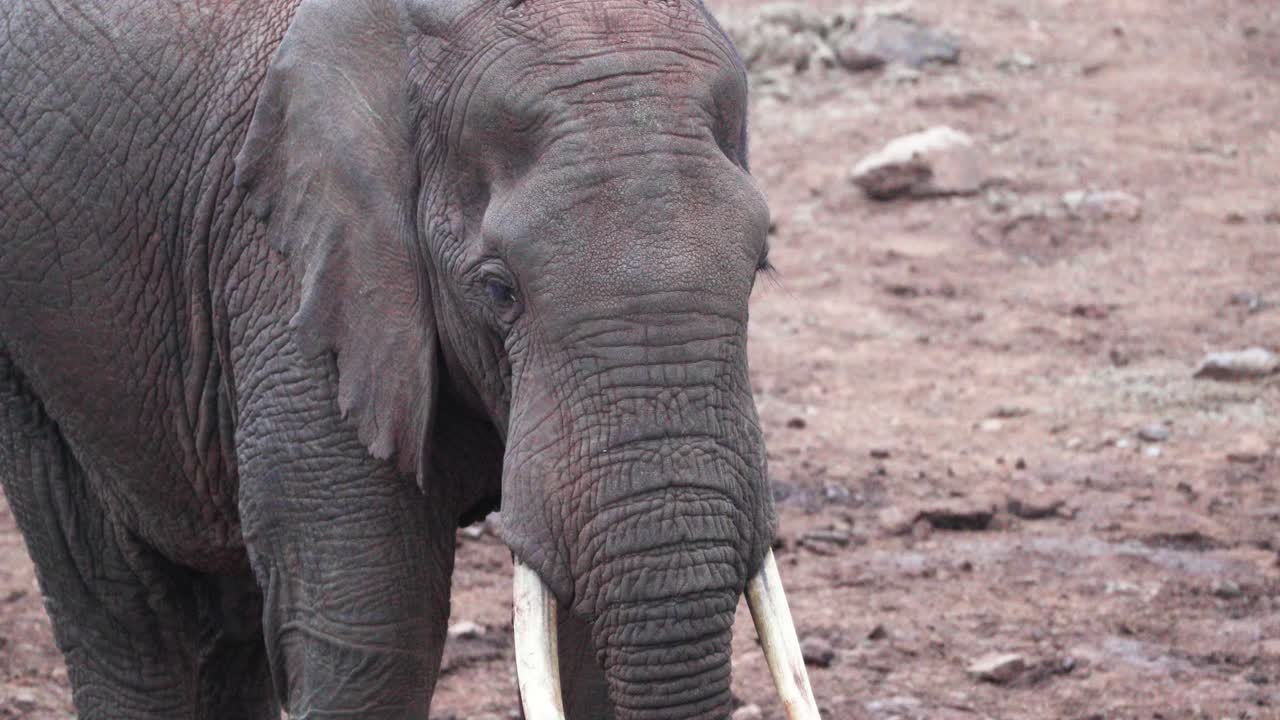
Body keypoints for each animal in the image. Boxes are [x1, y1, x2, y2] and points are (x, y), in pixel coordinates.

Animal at [0, 0, 819, 718]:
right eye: (499, 290)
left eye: (760, 266)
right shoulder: (292, 279)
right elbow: (377, 638)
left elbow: (582, 641)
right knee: (128, 613)